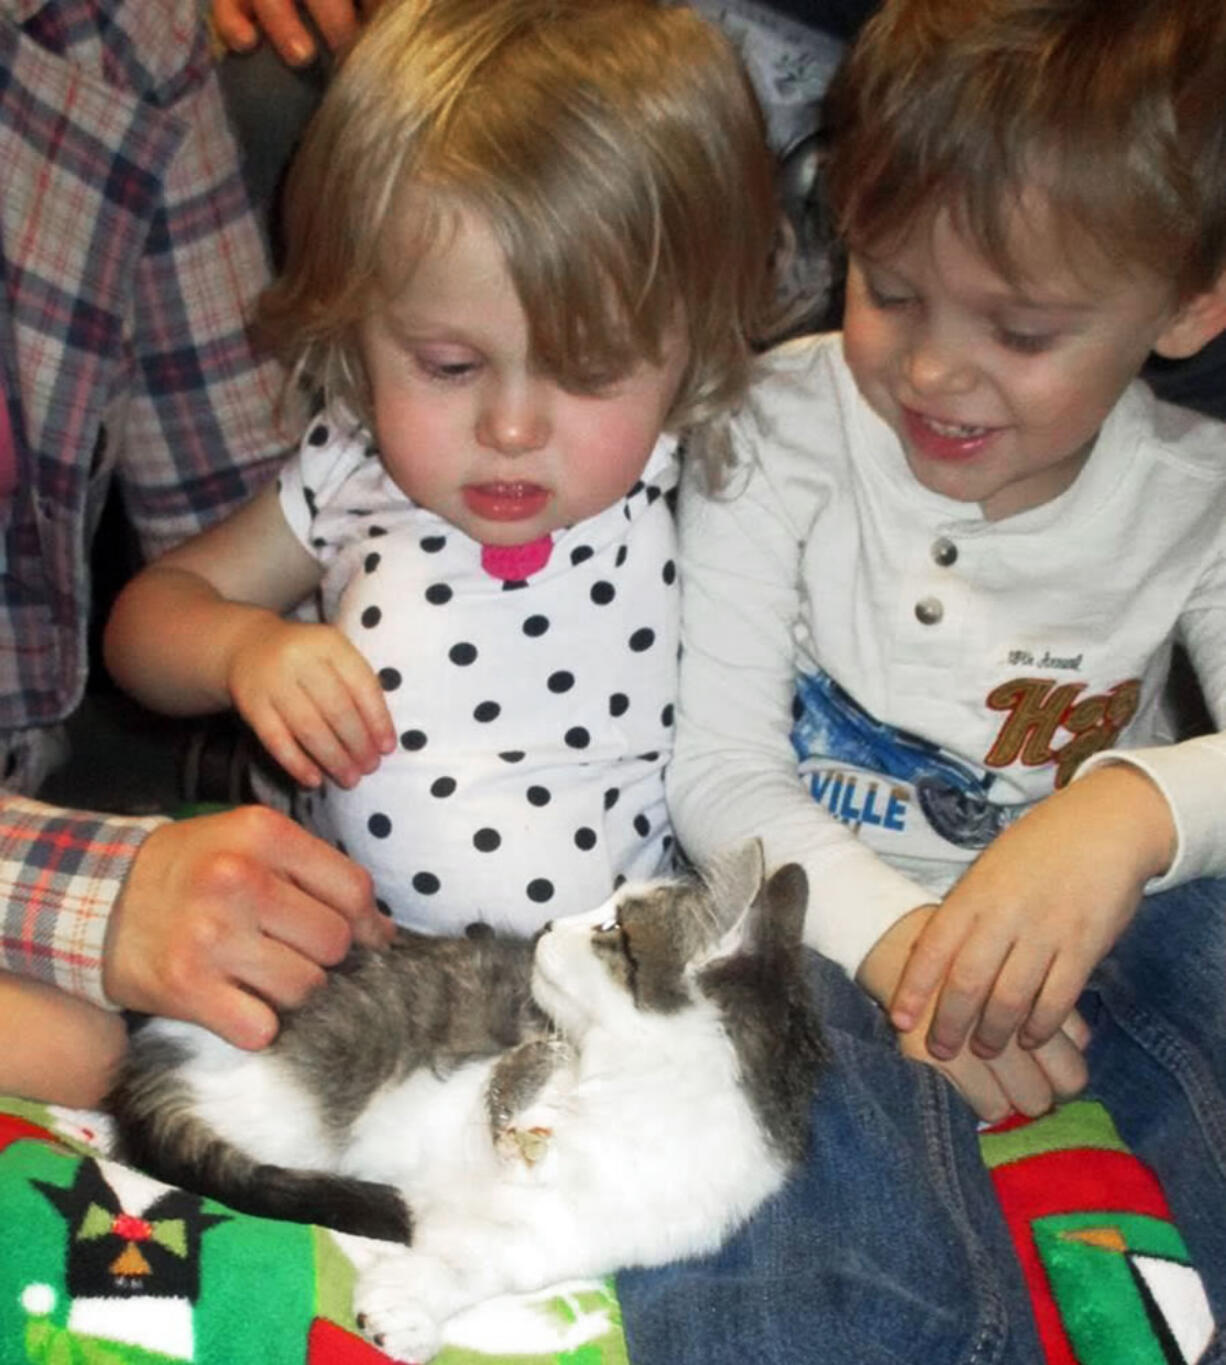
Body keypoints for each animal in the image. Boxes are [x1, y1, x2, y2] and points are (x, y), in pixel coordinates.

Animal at [109, 840, 819, 1365]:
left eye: (613, 926)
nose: (547, 926)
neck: (625, 1095)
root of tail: (148, 1057)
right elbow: (485, 1124)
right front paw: (526, 1098)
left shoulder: (594, 1231)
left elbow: (496, 1261)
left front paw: (411, 1301)